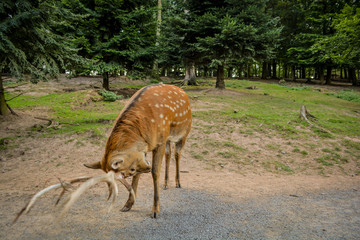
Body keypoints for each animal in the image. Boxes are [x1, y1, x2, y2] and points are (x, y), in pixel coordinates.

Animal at [14, 83, 193, 222]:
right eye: (130, 171)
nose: (146, 168)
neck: (144, 128)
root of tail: (184, 92)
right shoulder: (146, 149)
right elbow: (139, 176)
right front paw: (128, 205)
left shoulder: (160, 141)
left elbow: (155, 172)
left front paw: (155, 210)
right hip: (170, 139)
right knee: (170, 154)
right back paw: (166, 184)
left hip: (184, 133)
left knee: (177, 154)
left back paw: (177, 183)